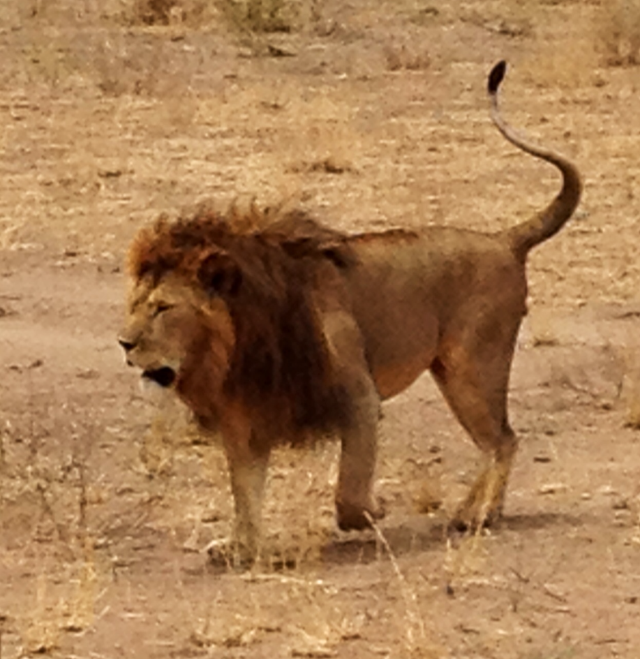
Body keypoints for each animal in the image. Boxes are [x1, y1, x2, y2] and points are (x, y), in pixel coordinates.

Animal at [118, 61, 581, 565]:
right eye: (134, 305)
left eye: (163, 308)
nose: (124, 343)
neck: (234, 343)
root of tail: (503, 240)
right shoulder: (245, 413)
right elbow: (245, 490)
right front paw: (241, 546)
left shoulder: (358, 396)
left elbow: (349, 491)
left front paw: (374, 511)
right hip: (452, 372)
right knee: (495, 441)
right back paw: (476, 513)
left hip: (472, 368)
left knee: (503, 440)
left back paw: (475, 516)